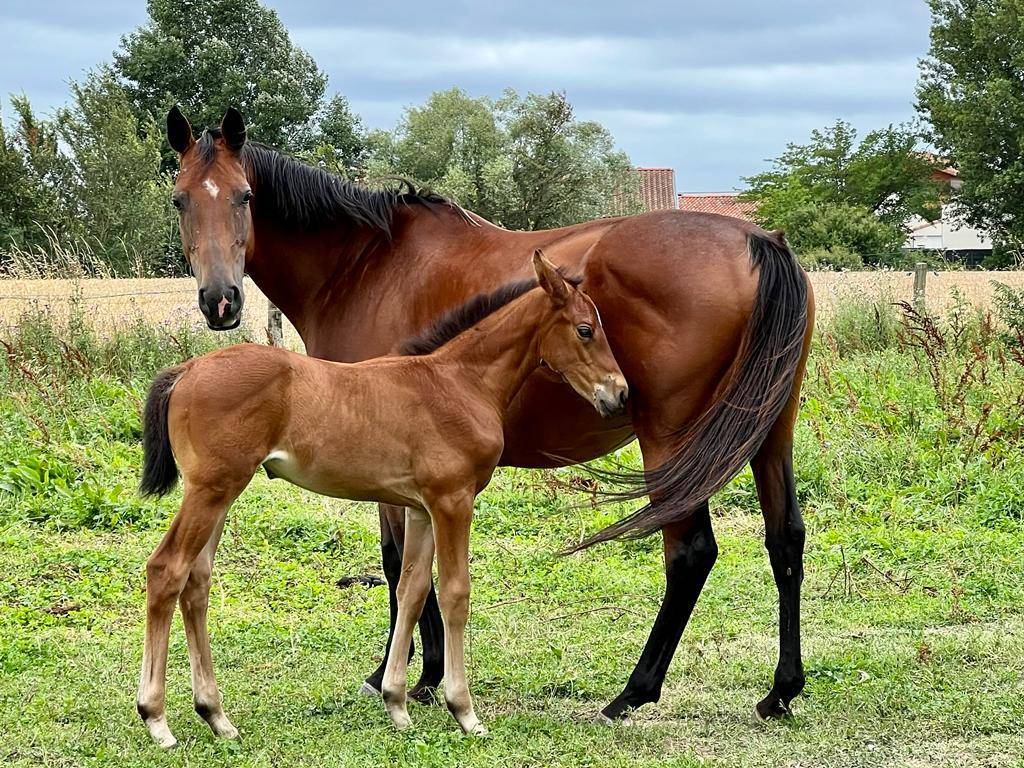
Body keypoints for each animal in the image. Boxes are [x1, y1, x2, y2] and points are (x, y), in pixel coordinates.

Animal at [135, 250, 629, 746]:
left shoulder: (421, 508)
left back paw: (216, 715)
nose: (620, 393)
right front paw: (465, 712)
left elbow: (412, 590)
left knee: (196, 582)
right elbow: (455, 593)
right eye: (585, 329)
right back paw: (156, 718)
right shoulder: (453, 501)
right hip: (211, 490)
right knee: (167, 570)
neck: (460, 382)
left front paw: (397, 704)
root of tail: (186, 370)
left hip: (220, 492)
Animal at [165, 106, 814, 724]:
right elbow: (414, 568)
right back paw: (780, 691)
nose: (220, 300)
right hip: (768, 431)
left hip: (670, 441)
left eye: (245, 196)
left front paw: (410, 677)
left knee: (690, 552)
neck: (363, 265)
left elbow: (400, 565)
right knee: (785, 539)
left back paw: (632, 693)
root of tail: (761, 241)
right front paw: (420, 674)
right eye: (180, 198)